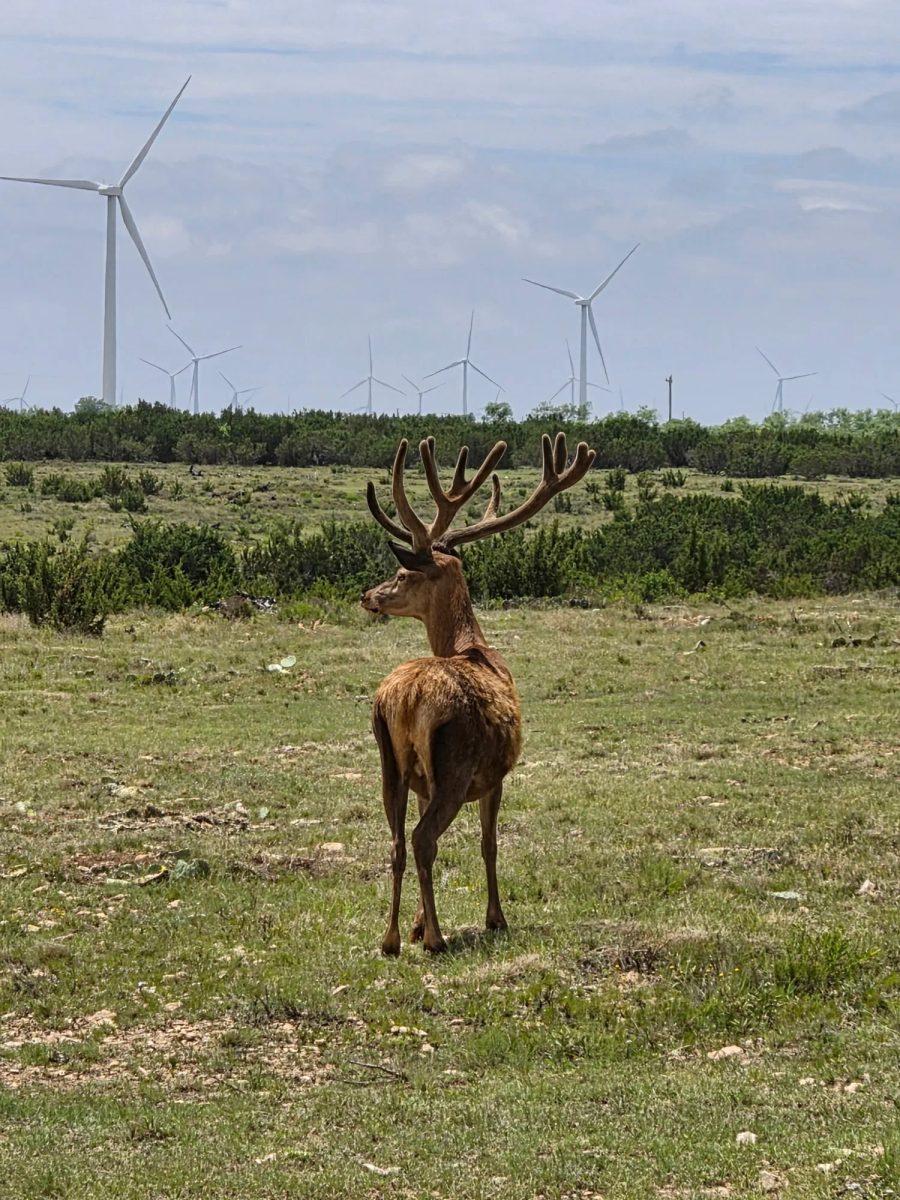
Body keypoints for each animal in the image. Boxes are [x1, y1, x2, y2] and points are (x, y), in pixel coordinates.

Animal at [361, 432, 596, 955]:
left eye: (402, 575)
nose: (368, 596)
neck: (475, 647)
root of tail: (407, 698)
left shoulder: (425, 782)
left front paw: (416, 924)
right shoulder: (496, 775)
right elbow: (490, 843)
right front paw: (495, 918)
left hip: (391, 762)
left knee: (398, 841)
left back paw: (391, 939)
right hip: (455, 763)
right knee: (424, 838)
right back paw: (437, 939)